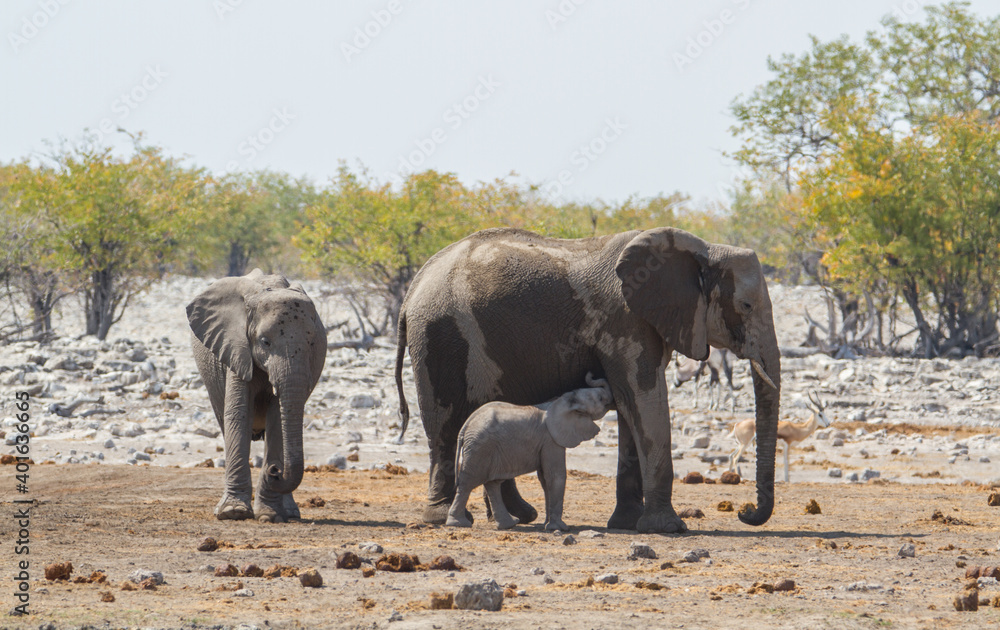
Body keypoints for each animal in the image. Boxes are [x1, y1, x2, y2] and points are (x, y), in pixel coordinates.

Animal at [187, 269, 327, 522]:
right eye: (265, 342)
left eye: (313, 343)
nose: (275, 471)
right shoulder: (235, 347)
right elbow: (238, 414)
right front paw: (233, 513)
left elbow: (278, 419)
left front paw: (270, 515)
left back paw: (290, 513)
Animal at [447, 373, 613, 531]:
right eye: (600, 398)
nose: (591, 373)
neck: (562, 400)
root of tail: (465, 427)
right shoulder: (551, 439)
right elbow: (555, 476)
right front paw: (560, 528)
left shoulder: (545, 442)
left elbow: (545, 479)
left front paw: (546, 524)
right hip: (480, 447)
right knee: (468, 482)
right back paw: (458, 523)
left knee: (492, 483)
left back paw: (509, 524)